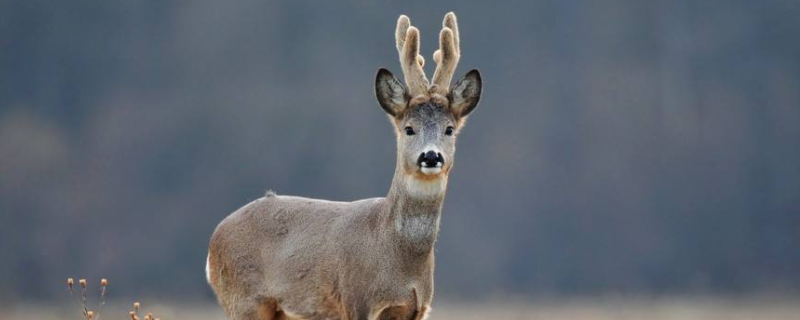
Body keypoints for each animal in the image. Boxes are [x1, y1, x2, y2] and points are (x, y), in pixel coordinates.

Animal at [206, 12, 482, 320]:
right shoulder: (357, 299)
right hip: (243, 299)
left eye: (449, 129)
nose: (431, 157)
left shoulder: (418, 308)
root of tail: (213, 241)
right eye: (409, 129)